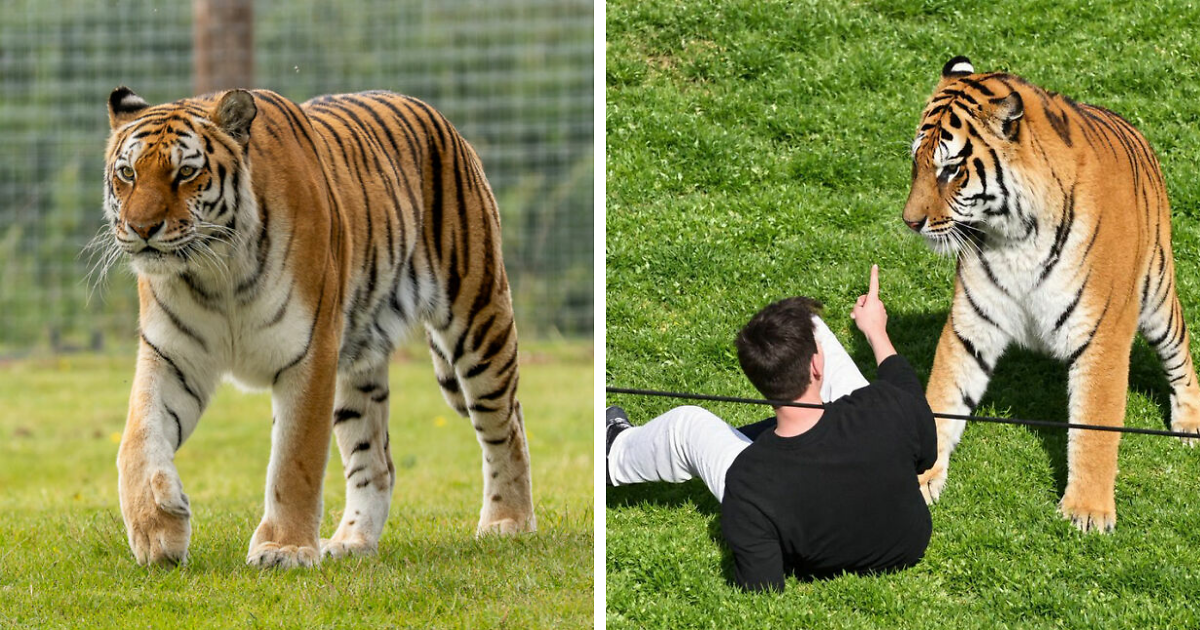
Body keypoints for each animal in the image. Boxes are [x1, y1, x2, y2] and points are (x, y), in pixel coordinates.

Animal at [102, 86, 535, 568]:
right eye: (127, 173)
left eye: (185, 173)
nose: (141, 229)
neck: (216, 273)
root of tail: (436, 116)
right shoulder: (172, 356)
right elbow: (137, 439)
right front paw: (158, 530)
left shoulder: (309, 352)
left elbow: (295, 460)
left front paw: (284, 548)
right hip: (358, 368)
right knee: (376, 462)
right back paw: (352, 541)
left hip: (477, 319)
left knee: (505, 424)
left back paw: (508, 522)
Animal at [902, 56, 1200, 532]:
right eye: (917, 163)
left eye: (950, 169)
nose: (910, 222)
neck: (1014, 235)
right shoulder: (971, 325)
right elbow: (943, 399)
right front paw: (918, 478)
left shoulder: (1102, 333)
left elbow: (1095, 422)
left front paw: (1087, 511)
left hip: (1156, 294)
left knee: (1180, 353)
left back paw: (1188, 422)